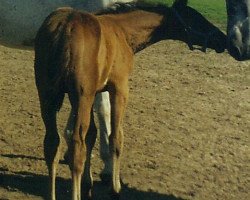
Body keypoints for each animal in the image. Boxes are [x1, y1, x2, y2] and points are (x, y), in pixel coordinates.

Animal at [34, 0, 227, 200]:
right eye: (197, 19)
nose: (223, 40)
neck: (122, 31)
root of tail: (65, 27)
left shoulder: (95, 91)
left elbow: (92, 135)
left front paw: (88, 187)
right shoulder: (119, 88)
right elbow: (115, 138)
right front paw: (115, 188)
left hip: (48, 94)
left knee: (52, 143)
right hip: (80, 96)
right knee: (76, 147)